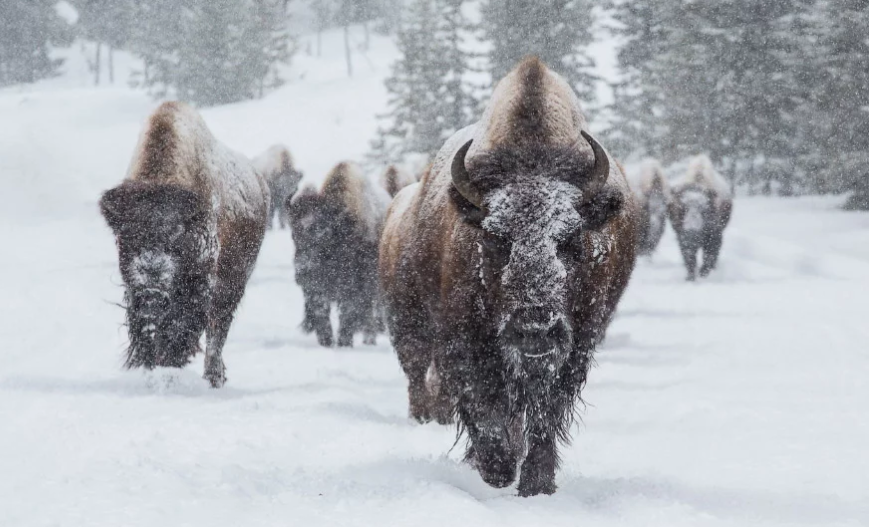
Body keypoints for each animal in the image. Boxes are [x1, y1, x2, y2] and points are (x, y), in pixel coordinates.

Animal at [99, 101, 268, 388]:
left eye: (176, 237)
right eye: (127, 235)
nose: (153, 291)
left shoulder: (201, 282)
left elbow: (184, 327)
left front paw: (169, 364)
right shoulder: (133, 289)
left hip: (233, 286)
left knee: (217, 332)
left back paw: (214, 377)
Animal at [286, 163, 388, 348]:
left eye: (323, 234)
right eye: (293, 235)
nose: (302, 270)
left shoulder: (353, 288)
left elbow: (348, 313)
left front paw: (344, 342)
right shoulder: (315, 290)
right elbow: (322, 314)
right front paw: (326, 342)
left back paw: (369, 339)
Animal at [380, 57, 636, 500]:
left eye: (571, 237)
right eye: (496, 236)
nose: (534, 326)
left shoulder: (574, 348)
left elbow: (546, 415)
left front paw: (536, 483)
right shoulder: (464, 345)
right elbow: (484, 408)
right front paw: (497, 470)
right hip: (409, 324)